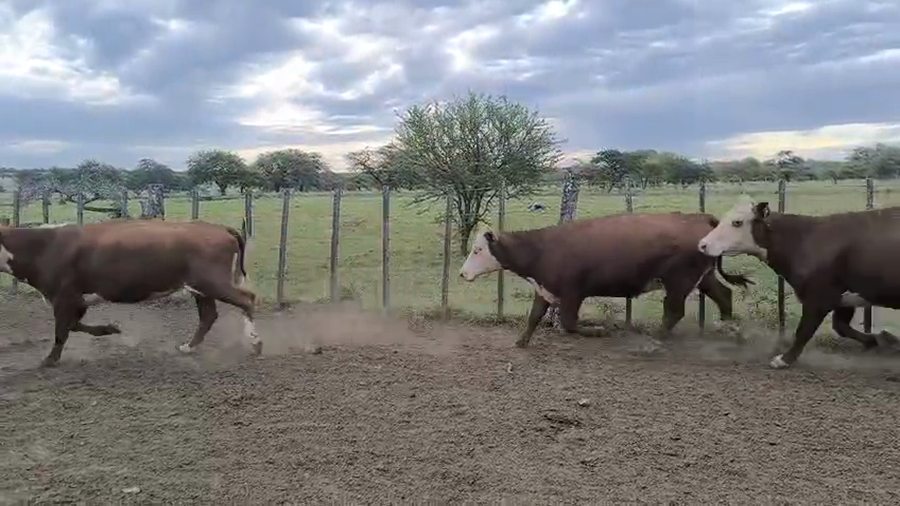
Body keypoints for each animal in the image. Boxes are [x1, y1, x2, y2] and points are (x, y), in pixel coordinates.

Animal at [0, 218, 259, 367]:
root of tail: (219, 228)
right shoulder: (77, 300)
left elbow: (61, 332)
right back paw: (188, 347)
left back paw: (256, 342)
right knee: (208, 315)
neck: (43, 246)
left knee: (247, 300)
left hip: (211, 282)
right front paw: (110, 329)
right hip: (200, 288)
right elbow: (73, 326)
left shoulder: (65, 297)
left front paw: (49, 360)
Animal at [459, 212, 754, 349]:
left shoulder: (573, 293)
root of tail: (700, 218)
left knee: (674, 312)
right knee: (724, 295)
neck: (543, 248)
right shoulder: (544, 289)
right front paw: (521, 342)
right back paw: (733, 332)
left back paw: (655, 341)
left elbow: (569, 324)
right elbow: (534, 317)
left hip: (679, 280)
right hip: (703, 277)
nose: (462, 274)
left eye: (478, 250)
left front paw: (599, 331)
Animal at [697, 194, 900, 369]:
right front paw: (884, 339)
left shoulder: (817, 298)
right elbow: (841, 327)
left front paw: (784, 359)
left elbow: (804, 331)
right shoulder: (844, 298)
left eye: (737, 222)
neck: (803, 239)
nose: (703, 244)